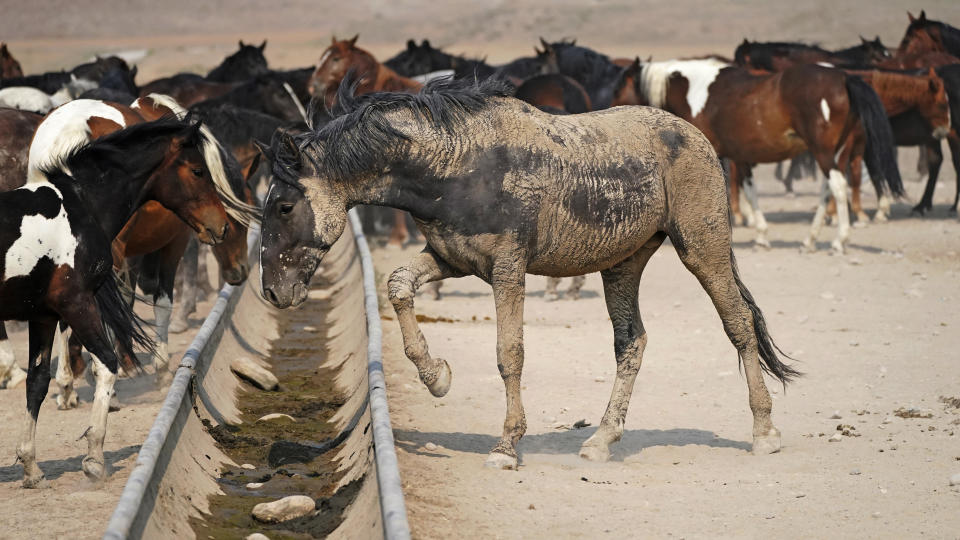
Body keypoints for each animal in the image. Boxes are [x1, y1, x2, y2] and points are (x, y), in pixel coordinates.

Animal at [0, 116, 231, 488]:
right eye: (198, 170)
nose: (221, 226)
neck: (79, 207)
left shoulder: (44, 315)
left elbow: (37, 383)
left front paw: (31, 467)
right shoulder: (77, 303)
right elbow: (107, 363)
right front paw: (95, 457)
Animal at [258, 78, 800, 470]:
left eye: (284, 206)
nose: (273, 292)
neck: (457, 165)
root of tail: (695, 137)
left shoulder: (507, 269)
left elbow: (509, 354)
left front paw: (506, 447)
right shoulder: (453, 260)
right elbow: (398, 286)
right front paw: (437, 377)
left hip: (702, 248)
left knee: (738, 324)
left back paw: (765, 433)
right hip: (623, 264)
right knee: (632, 342)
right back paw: (601, 440)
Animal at [632, 59, 904, 253]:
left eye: (624, 84)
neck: (696, 91)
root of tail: (843, 77)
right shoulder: (740, 156)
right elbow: (750, 190)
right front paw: (761, 235)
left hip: (823, 152)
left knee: (837, 186)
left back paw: (840, 240)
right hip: (838, 152)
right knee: (828, 188)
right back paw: (811, 240)